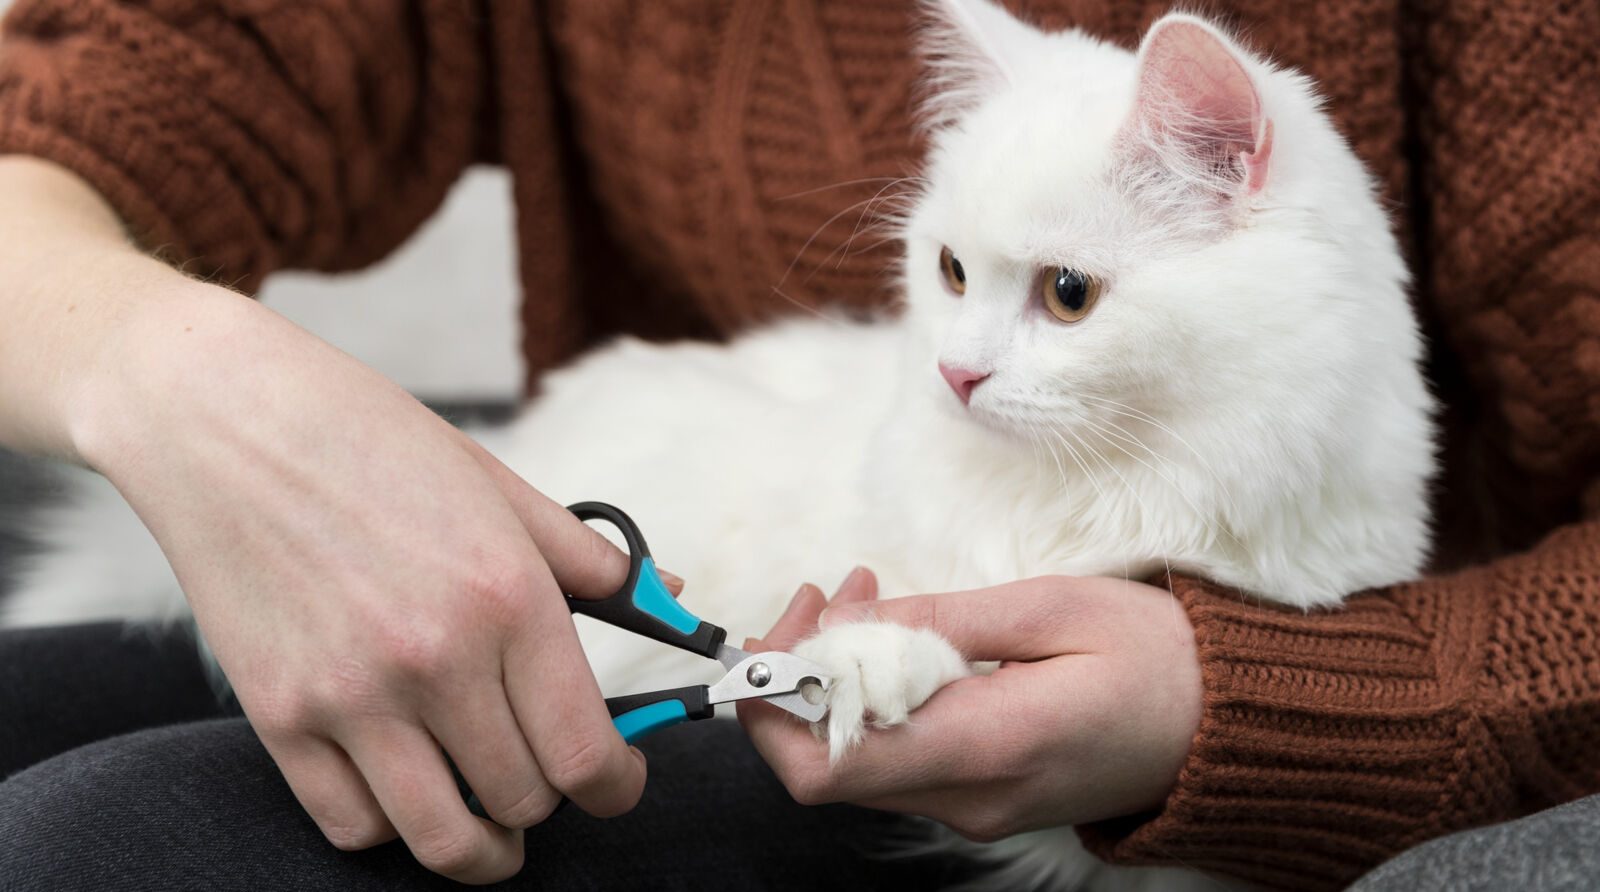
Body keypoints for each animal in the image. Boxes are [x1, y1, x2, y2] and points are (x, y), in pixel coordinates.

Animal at [3, 1, 1440, 892]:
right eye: (951, 272)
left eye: (1069, 297)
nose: (957, 372)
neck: (1115, 491)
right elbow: (902, 633)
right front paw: (863, 667)